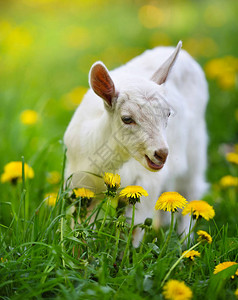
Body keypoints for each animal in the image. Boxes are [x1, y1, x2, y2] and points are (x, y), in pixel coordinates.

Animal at [63, 41, 208, 245]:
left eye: (168, 114)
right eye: (127, 119)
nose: (161, 153)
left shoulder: (146, 184)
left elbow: (133, 229)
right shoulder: (81, 185)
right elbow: (81, 228)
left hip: (196, 146)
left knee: (190, 190)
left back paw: (184, 241)